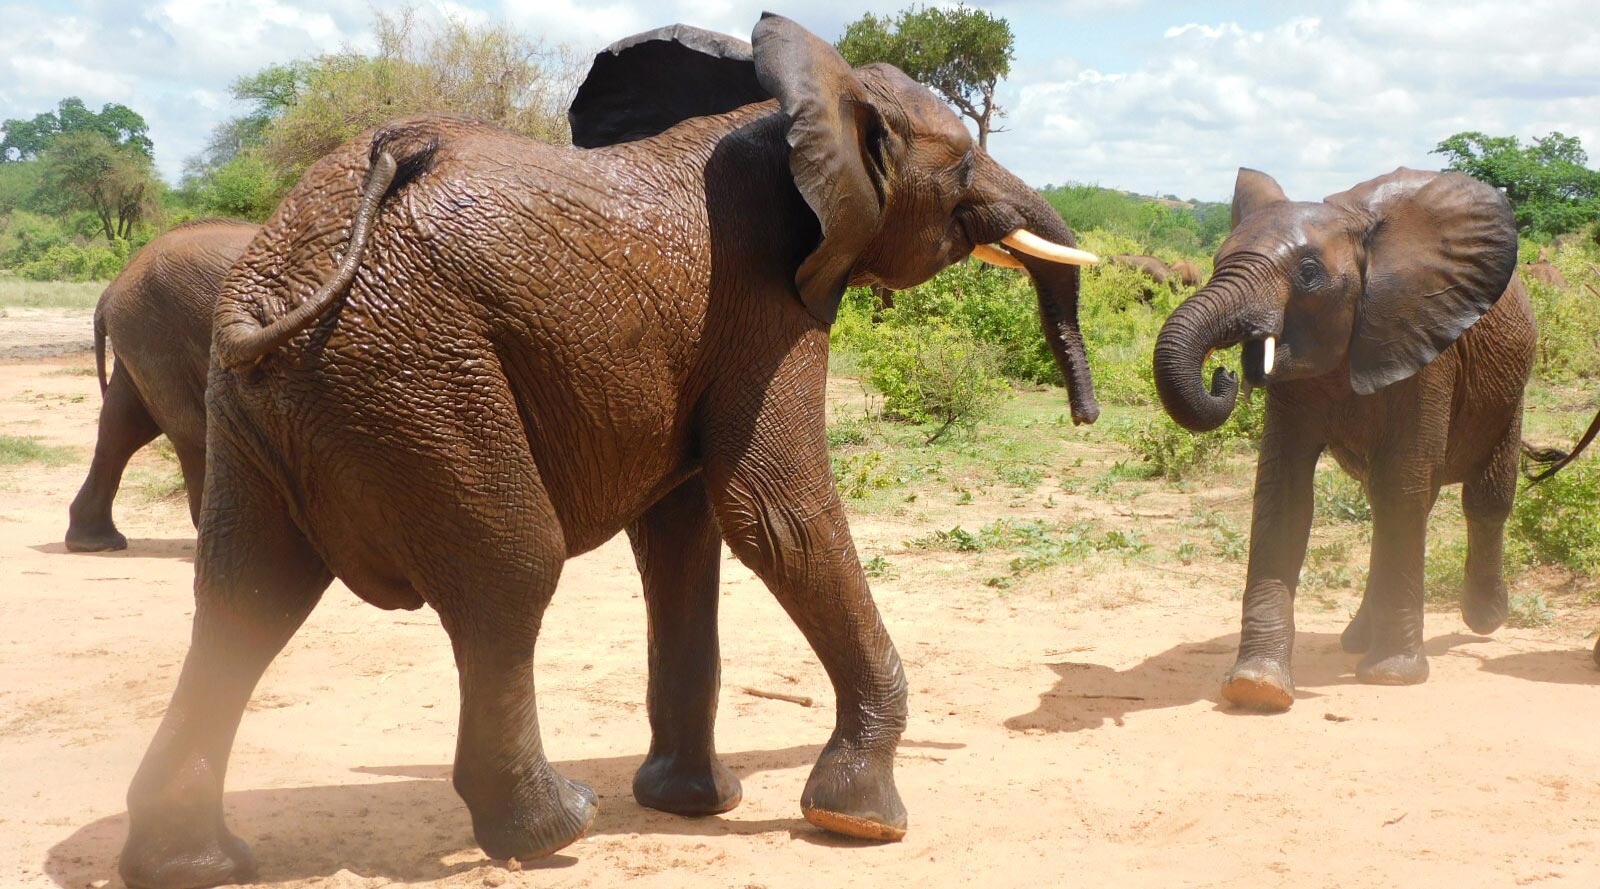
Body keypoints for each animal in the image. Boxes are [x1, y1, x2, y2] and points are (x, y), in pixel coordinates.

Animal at [62, 219, 256, 553]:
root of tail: (111, 289)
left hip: (142, 337)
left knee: (123, 427)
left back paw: (95, 543)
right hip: (157, 335)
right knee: (191, 429)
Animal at [118, 15, 1107, 889]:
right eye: (966, 163)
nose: (1086, 416)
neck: (799, 102)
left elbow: (685, 534)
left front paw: (694, 804)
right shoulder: (768, 299)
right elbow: (774, 512)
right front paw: (858, 820)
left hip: (275, 392)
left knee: (246, 597)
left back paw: (194, 864)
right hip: (409, 370)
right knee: (509, 571)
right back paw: (556, 825)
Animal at [1152, 164, 1536, 709]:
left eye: (1309, 272)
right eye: (1217, 261)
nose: (1223, 373)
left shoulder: (1424, 344)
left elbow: (1403, 487)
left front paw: (1393, 677)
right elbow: (1283, 494)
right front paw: (1256, 688)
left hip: (1510, 389)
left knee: (1482, 497)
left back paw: (1483, 619)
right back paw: (1357, 639)